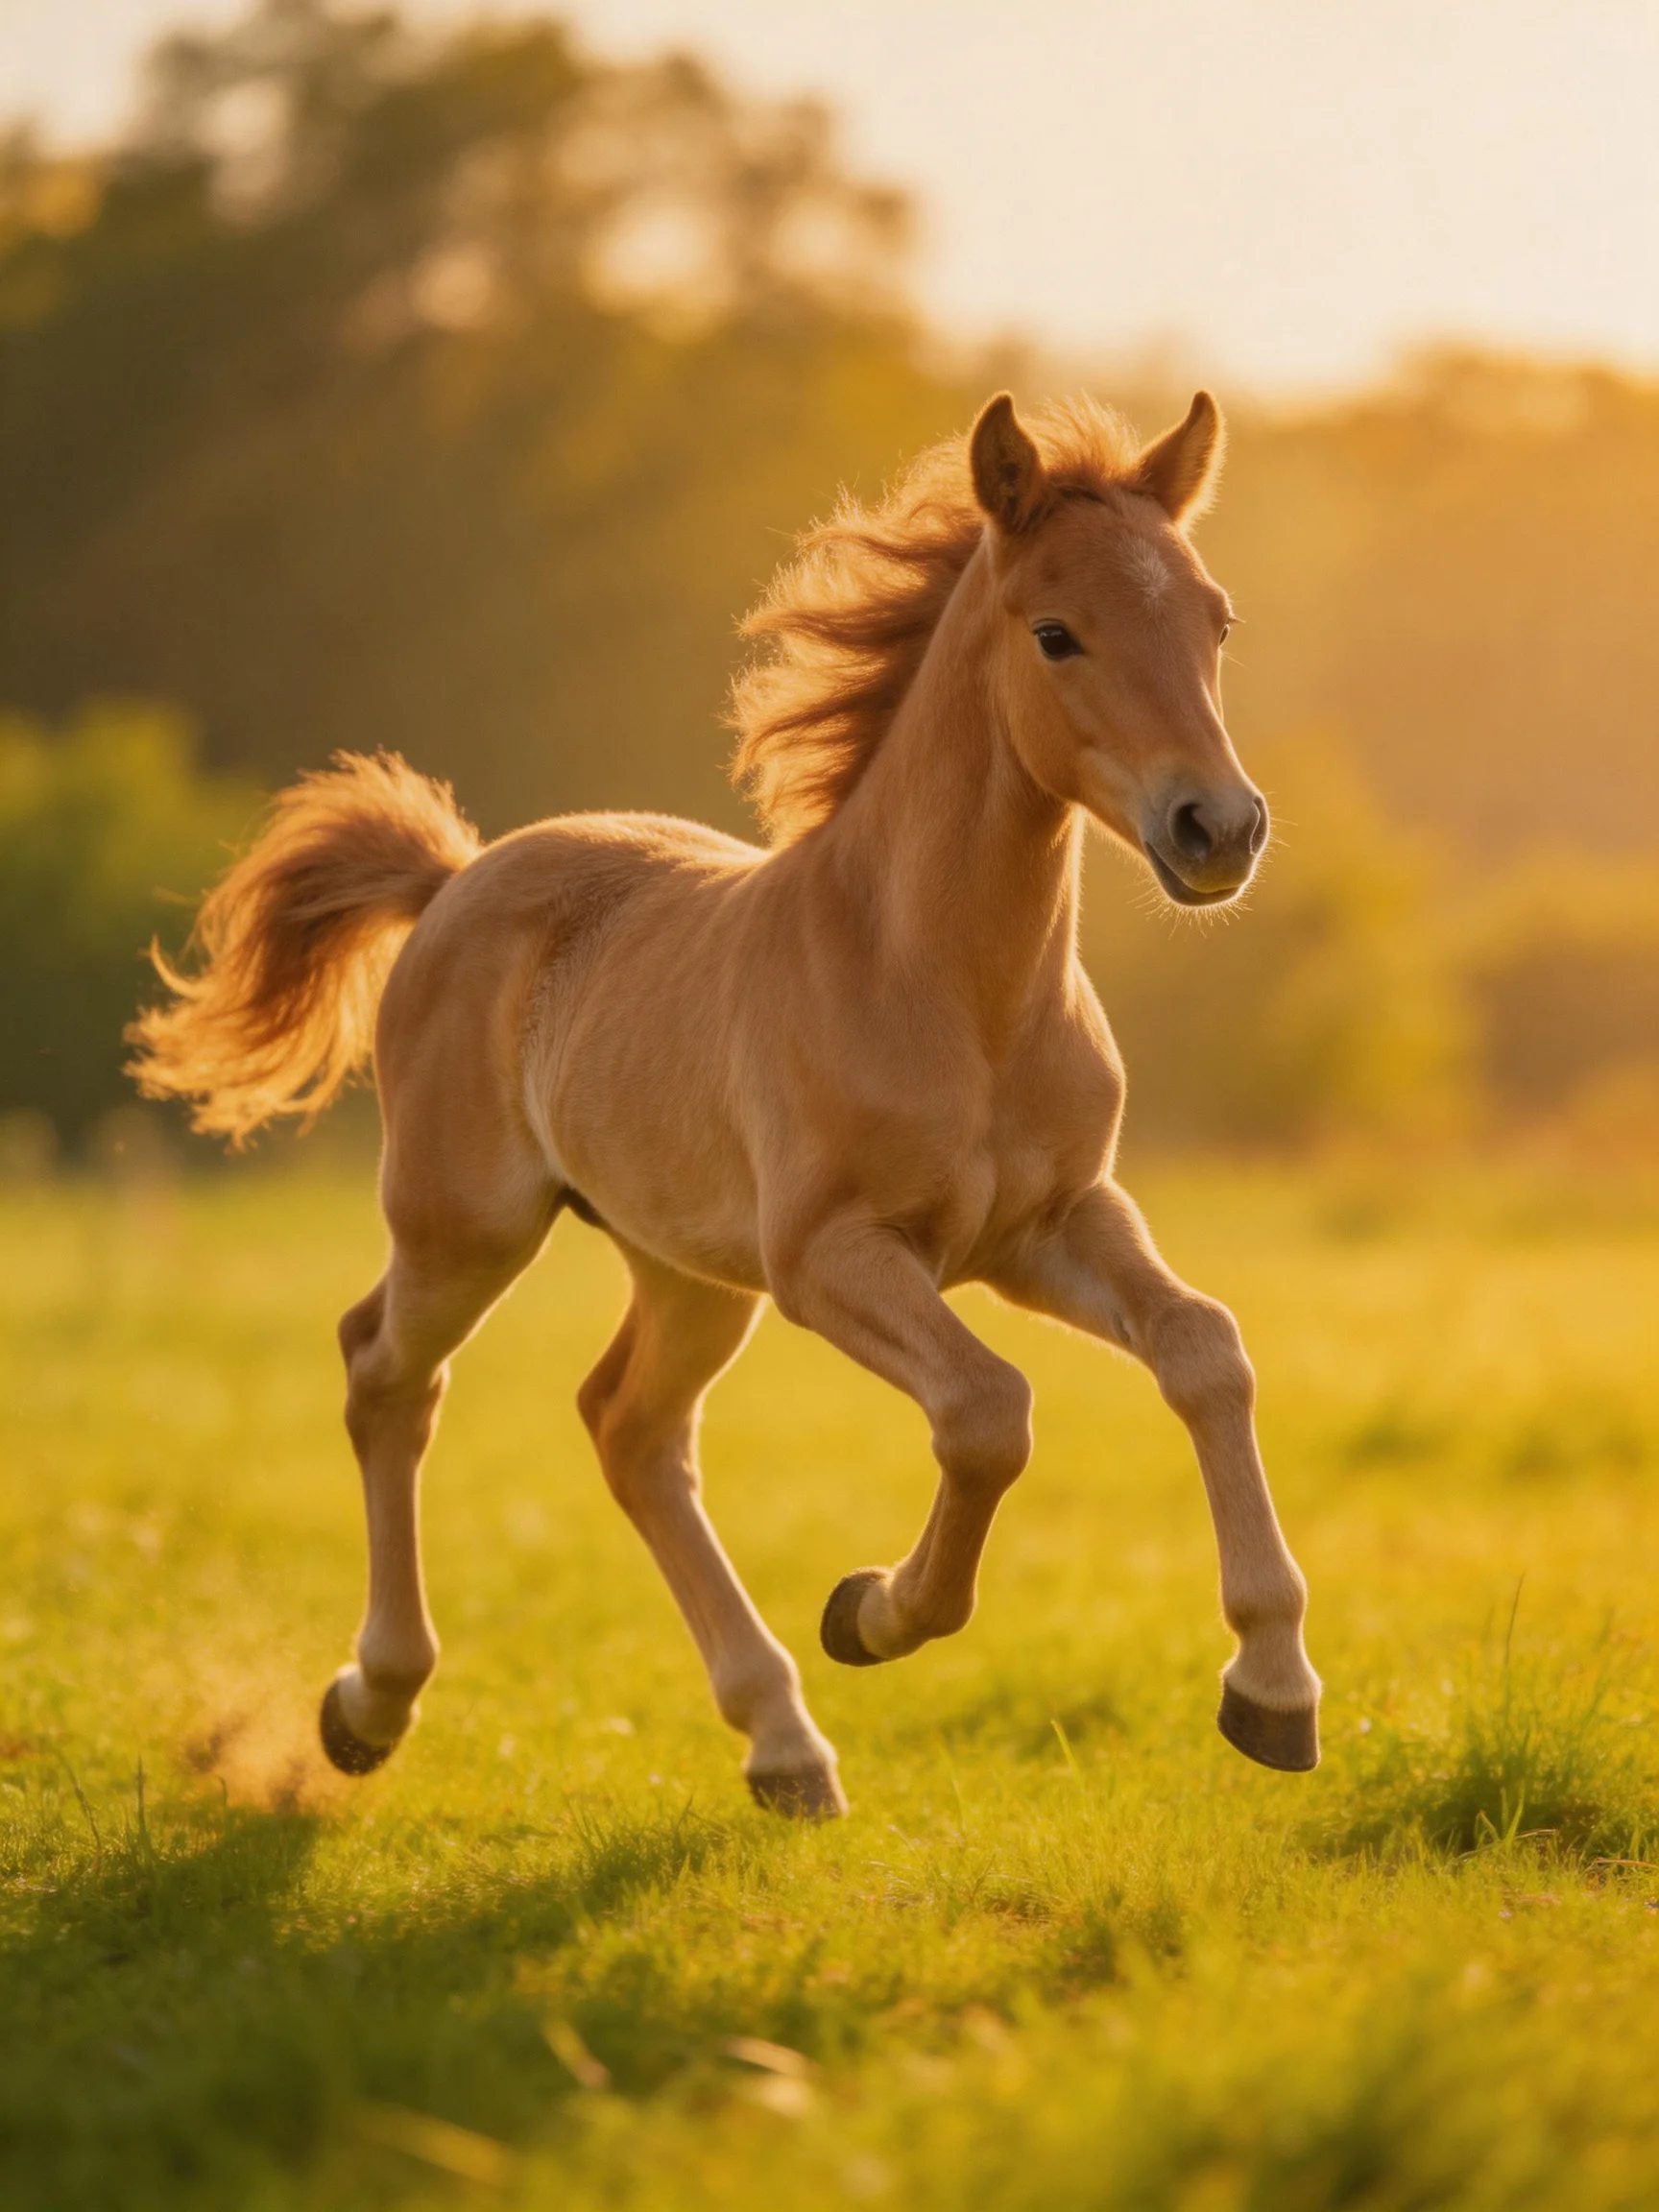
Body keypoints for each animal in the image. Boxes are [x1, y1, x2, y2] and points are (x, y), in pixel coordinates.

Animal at [130, 389, 1321, 1817]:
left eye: (1215, 619)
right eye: (1056, 632)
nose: (1219, 830)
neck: (943, 985)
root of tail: (454, 877)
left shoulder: (1055, 1223)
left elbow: (1204, 1348)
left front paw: (1274, 1688)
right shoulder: (829, 1259)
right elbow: (988, 1412)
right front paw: (873, 1610)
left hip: (690, 1270)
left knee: (630, 1428)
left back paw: (784, 1742)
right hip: (467, 1229)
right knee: (387, 1374)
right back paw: (374, 1702)